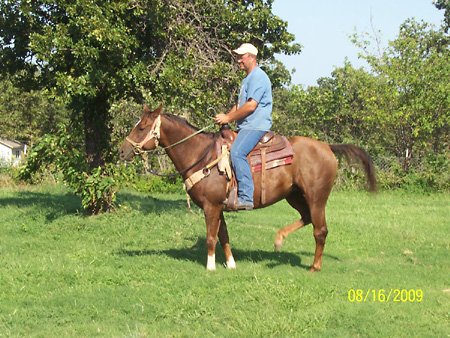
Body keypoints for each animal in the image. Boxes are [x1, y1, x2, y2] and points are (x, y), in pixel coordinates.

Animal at [119, 105, 376, 272]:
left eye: (141, 128)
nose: (122, 151)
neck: (202, 155)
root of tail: (328, 148)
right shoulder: (219, 207)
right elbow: (223, 235)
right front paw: (231, 264)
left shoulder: (211, 207)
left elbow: (211, 237)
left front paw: (210, 267)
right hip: (294, 196)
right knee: (308, 219)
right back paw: (279, 239)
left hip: (316, 197)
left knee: (320, 230)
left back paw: (314, 267)